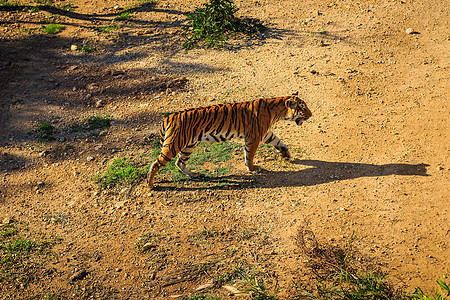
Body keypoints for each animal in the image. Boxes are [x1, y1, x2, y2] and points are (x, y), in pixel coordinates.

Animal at [146, 95, 312, 189]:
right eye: (303, 107)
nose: (311, 114)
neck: (278, 111)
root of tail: (168, 117)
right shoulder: (254, 136)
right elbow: (249, 155)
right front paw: (252, 169)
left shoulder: (265, 133)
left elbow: (279, 142)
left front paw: (286, 154)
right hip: (173, 145)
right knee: (156, 164)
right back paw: (150, 184)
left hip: (188, 145)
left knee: (179, 162)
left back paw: (194, 175)